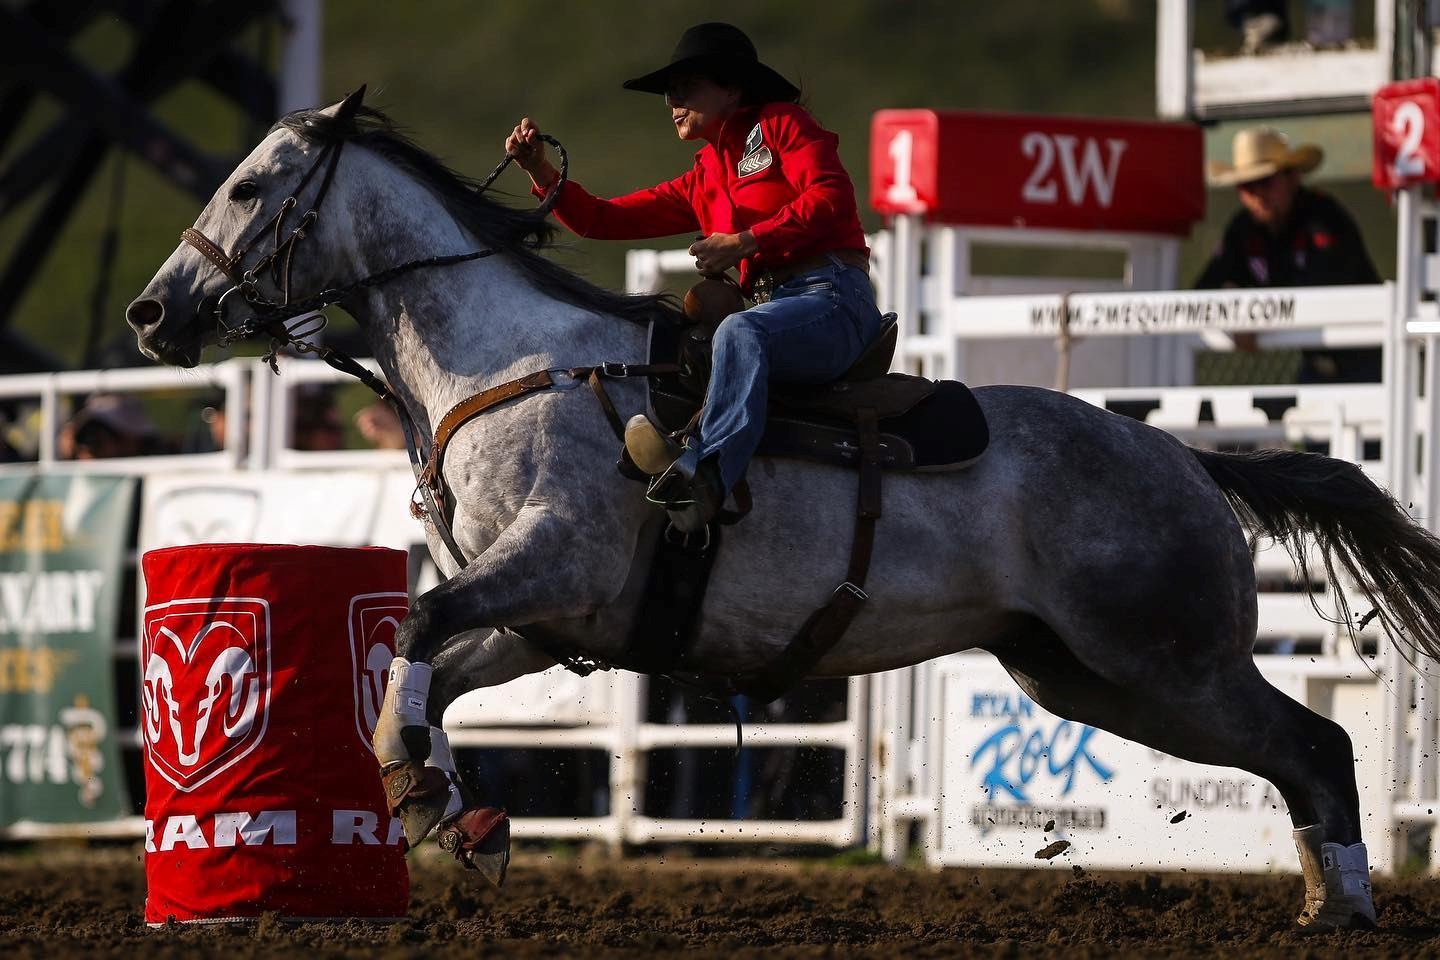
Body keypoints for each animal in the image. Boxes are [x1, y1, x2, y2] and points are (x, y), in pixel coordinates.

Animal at [128, 89, 1440, 929]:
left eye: (251, 185)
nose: (151, 315)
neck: (513, 363)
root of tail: (1189, 461)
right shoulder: (546, 624)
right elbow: (423, 680)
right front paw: (451, 811)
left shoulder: (549, 568)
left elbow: (412, 630)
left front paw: (427, 797)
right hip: (1089, 675)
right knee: (1293, 756)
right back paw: (1326, 898)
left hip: (1167, 660)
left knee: (1316, 744)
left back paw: (1343, 906)